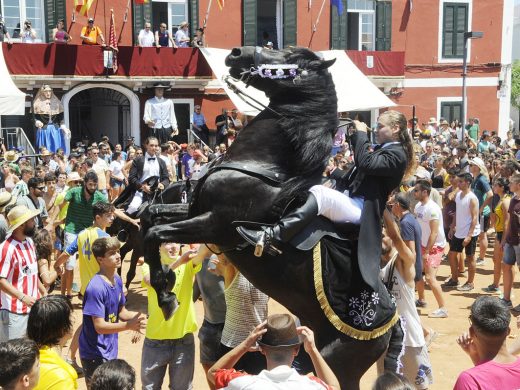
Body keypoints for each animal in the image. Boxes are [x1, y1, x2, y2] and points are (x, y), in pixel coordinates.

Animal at [142, 47, 398, 388]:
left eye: (287, 56)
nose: (237, 53)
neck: (262, 166)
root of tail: (389, 320)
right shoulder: (196, 212)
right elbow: (149, 217)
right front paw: (166, 287)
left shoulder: (216, 225)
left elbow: (154, 233)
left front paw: (166, 294)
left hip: (338, 362)